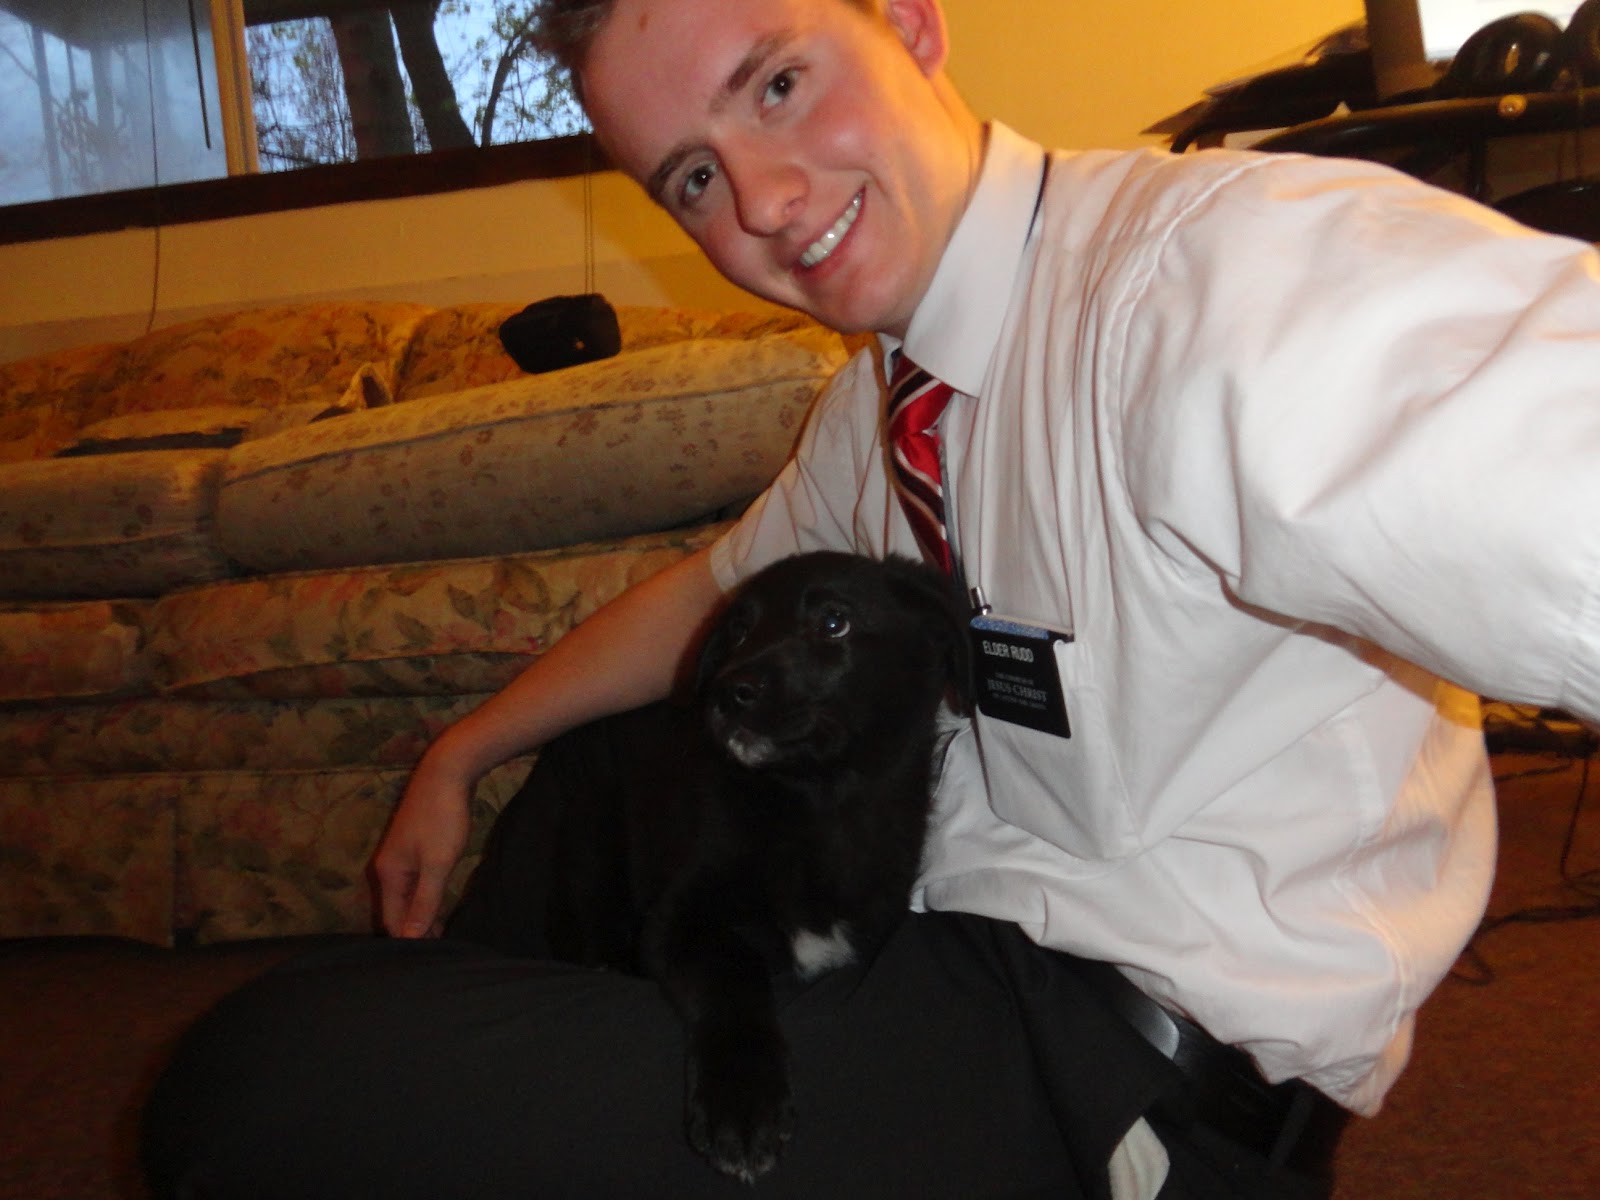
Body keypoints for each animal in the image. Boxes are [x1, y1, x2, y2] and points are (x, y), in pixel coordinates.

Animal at [447, 551, 970, 1182]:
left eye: (833, 623)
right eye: (739, 630)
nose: (727, 692)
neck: (814, 808)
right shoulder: (680, 916)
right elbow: (733, 973)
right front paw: (742, 1106)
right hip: (589, 858)